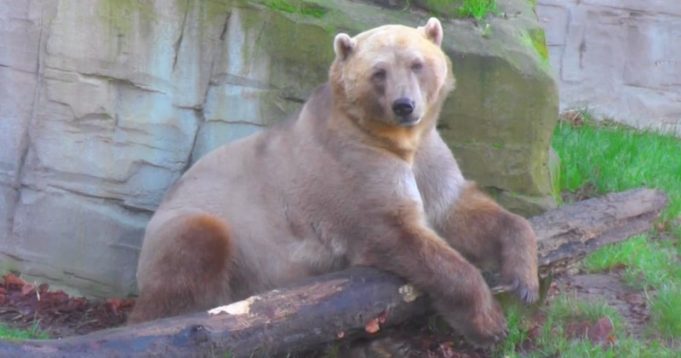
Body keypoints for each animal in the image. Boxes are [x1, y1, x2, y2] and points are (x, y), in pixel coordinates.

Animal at [129, 17, 536, 346]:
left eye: (417, 64)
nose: (404, 106)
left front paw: (523, 279)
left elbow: (457, 207)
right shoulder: (353, 166)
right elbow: (397, 231)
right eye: (379, 72)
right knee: (192, 254)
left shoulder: (427, 156)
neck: (395, 141)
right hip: (197, 222)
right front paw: (489, 323)